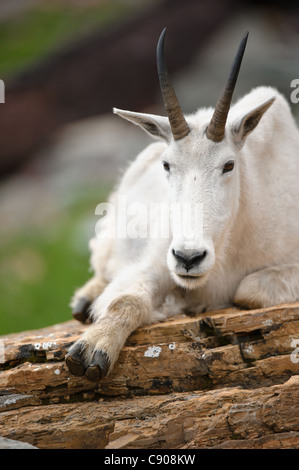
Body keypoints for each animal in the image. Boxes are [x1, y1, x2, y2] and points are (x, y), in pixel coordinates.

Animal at [65, 29, 299, 382]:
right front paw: (92, 350)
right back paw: (84, 300)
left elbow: (248, 290)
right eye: (167, 165)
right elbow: (127, 299)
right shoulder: (159, 262)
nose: (189, 258)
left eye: (229, 165)